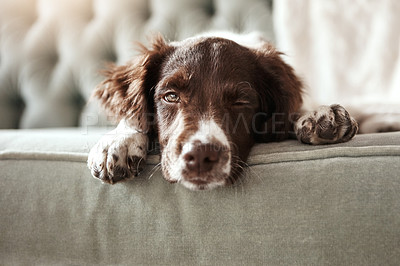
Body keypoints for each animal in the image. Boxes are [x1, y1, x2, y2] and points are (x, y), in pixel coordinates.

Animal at [87, 32, 360, 191]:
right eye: (171, 96)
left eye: (240, 101)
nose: (200, 155)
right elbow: (132, 117)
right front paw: (117, 143)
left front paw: (320, 115)